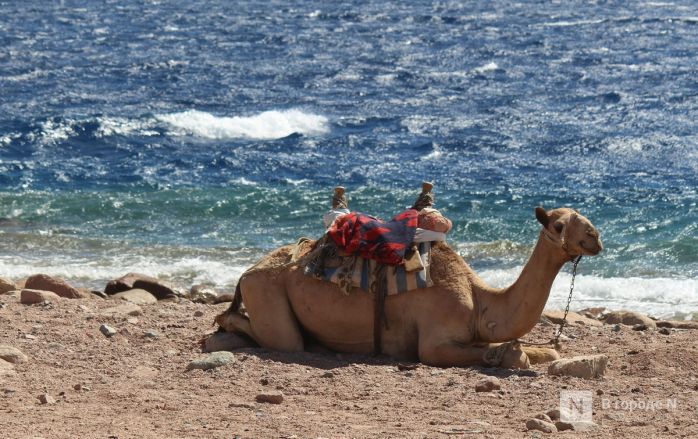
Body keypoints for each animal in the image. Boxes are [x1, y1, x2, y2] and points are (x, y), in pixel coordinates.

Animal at [215, 208, 600, 370]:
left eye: (586, 218)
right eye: (558, 224)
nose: (595, 237)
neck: (480, 301)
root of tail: (248, 271)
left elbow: (541, 351)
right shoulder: (434, 341)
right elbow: (505, 354)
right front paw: (508, 357)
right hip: (267, 291)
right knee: (281, 338)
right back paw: (218, 330)